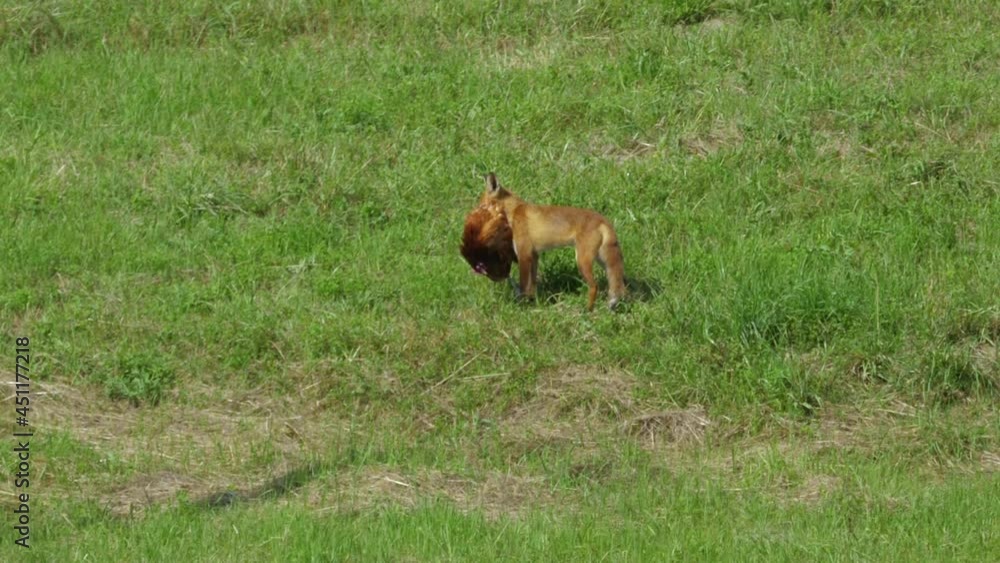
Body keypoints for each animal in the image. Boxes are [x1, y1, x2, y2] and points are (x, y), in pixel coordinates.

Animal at [479, 172, 626, 311]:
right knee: (618, 284)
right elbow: (532, 284)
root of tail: (603, 219)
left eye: (482, 206)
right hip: (602, 261)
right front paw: (533, 302)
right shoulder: (534, 255)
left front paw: (522, 305)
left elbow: (523, 284)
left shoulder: (524, 254)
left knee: (594, 286)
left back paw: (588, 310)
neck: (514, 212)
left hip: (582, 261)